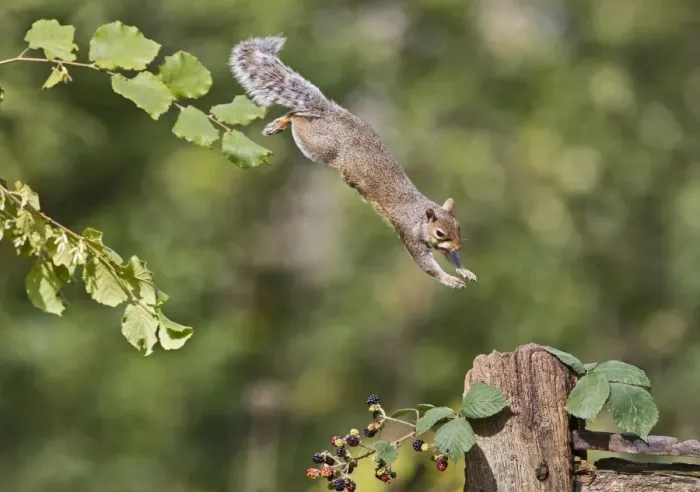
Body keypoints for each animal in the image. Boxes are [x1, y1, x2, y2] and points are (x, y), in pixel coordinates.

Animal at [229, 36, 477, 289]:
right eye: (439, 233)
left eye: (458, 226)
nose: (459, 245)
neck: (419, 218)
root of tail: (330, 112)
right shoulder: (410, 235)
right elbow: (427, 266)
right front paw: (449, 279)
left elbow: (450, 258)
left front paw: (463, 270)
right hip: (316, 145)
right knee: (296, 117)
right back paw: (281, 123)